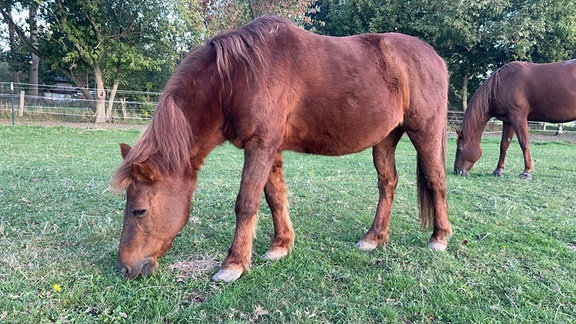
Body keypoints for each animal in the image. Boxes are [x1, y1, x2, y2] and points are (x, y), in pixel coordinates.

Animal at [110, 16, 452, 282]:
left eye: (139, 210)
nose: (125, 268)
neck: (236, 77)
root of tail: (435, 57)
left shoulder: (260, 146)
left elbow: (246, 203)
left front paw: (233, 265)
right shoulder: (270, 148)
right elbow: (275, 197)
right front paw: (280, 246)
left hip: (425, 132)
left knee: (436, 181)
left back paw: (439, 238)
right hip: (386, 138)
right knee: (388, 183)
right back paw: (374, 237)